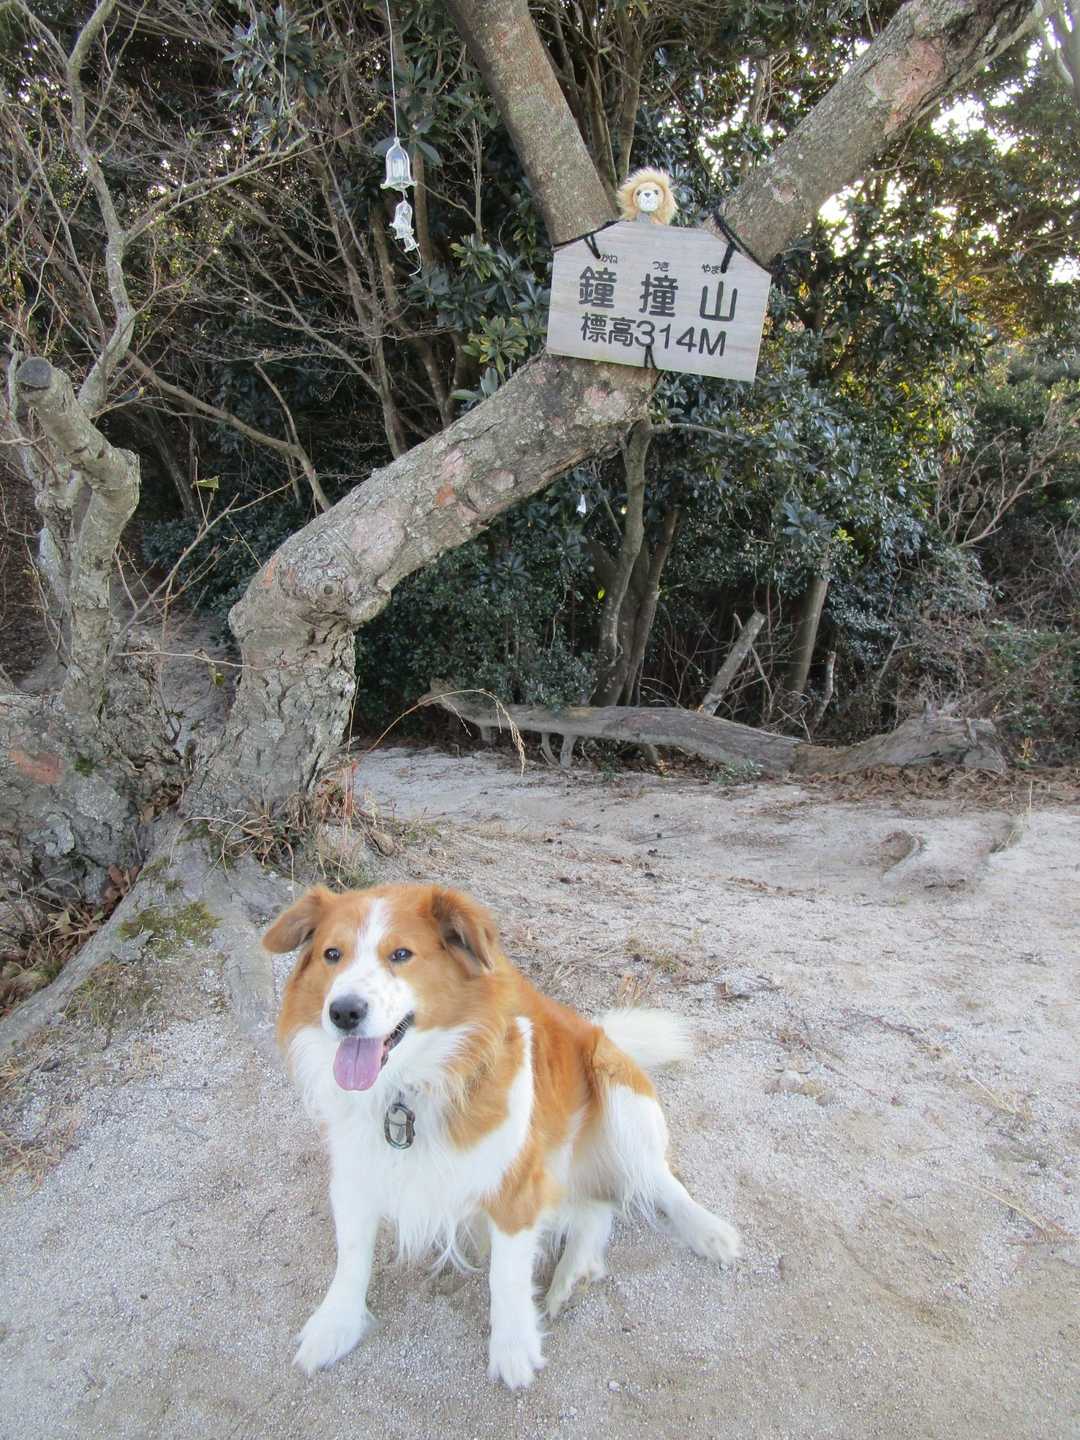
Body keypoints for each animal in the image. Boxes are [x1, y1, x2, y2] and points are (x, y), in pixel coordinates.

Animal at [266, 882, 740, 1389]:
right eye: (331, 954)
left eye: (401, 954)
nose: (344, 1011)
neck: (410, 1089)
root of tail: (604, 1032)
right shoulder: (356, 1172)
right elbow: (351, 1257)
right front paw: (334, 1325)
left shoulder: (516, 1186)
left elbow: (507, 1276)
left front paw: (513, 1349)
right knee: (597, 1207)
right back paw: (574, 1272)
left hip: (618, 1092)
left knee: (659, 1181)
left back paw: (708, 1231)